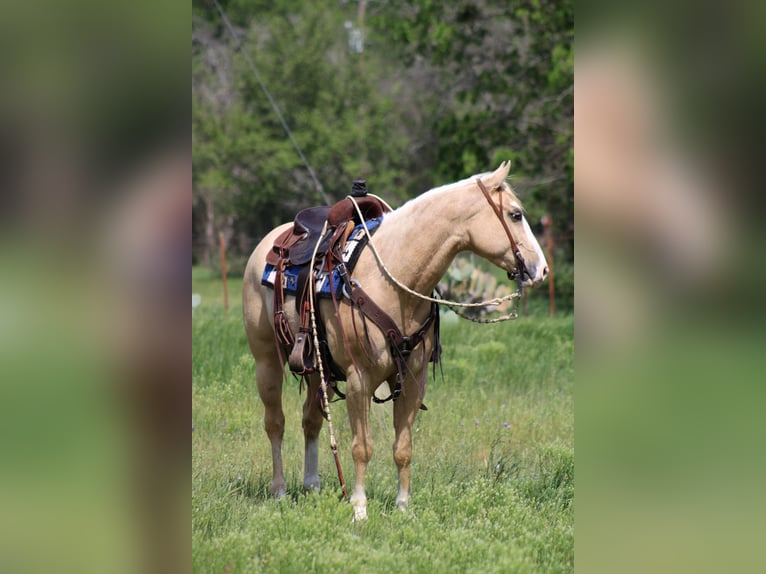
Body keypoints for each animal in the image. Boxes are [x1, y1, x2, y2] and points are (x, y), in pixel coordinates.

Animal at [243, 162, 548, 520]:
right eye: (515, 215)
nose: (542, 269)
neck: (394, 279)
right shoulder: (359, 380)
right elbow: (362, 448)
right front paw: (359, 509)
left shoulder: (413, 380)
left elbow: (403, 448)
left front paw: (404, 508)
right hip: (266, 361)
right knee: (275, 423)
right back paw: (279, 490)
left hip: (318, 368)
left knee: (311, 421)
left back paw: (312, 485)